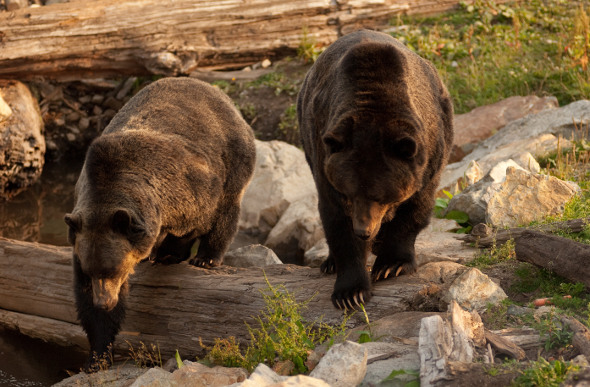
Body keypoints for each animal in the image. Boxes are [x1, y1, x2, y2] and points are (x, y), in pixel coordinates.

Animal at [65, 77, 256, 372]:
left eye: (113, 268)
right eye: (92, 270)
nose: (104, 302)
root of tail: (214, 90)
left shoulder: (187, 185)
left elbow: (198, 220)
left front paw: (174, 253)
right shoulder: (82, 234)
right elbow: (86, 303)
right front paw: (96, 356)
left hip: (233, 152)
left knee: (228, 206)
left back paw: (204, 257)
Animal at [298, 28, 456, 310]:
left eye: (380, 195)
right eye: (348, 194)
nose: (363, 231)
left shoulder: (429, 158)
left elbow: (415, 209)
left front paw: (391, 264)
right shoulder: (324, 158)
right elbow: (336, 221)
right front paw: (350, 291)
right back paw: (330, 262)